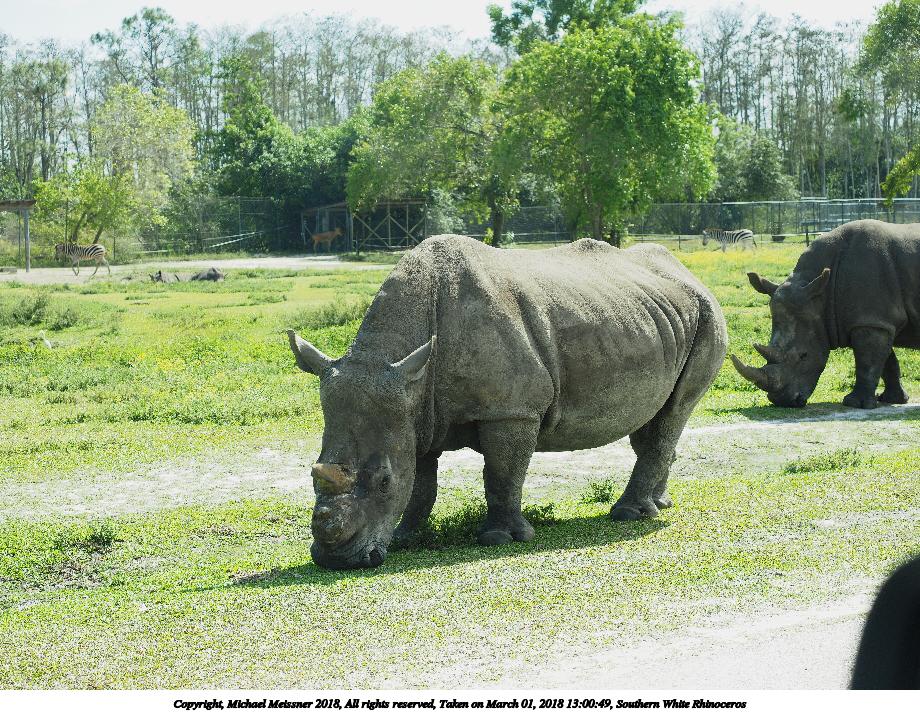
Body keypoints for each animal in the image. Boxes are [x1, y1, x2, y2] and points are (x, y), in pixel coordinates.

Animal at [288, 235, 727, 570]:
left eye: (382, 482)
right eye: (311, 473)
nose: (337, 561)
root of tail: (690, 274)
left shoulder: (512, 410)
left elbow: (502, 472)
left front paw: (502, 538)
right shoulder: (415, 410)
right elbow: (421, 480)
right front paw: (405, 537)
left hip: (710, 317)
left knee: (674, 412)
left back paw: (629, 514)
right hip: (657, 318)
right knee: (653, 420)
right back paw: (659, 503)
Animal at [732, 219, 920, 408]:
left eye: (804, 356)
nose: (783, 401)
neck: (821, 295)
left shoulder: (872, 320)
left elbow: (868, 362)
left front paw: (854, 403)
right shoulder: (876, 320)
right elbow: (886, 361)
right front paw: (892, 399)